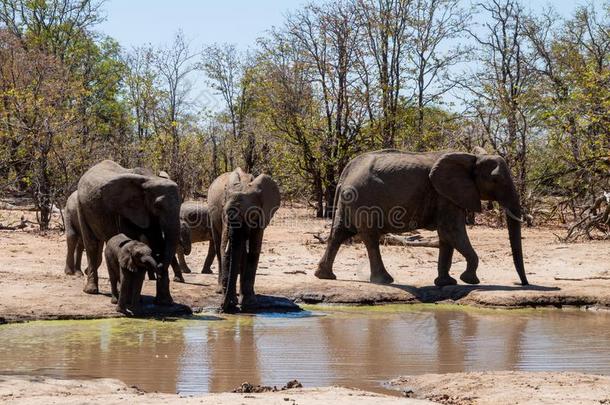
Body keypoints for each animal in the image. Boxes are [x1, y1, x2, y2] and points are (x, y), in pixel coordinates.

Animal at [76, 159, 180, 304]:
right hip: (81, 205)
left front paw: (164, 303)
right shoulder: (126, 210)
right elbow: (132, 237)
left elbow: (158, 242)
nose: (159, 265)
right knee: (91, 244)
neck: (151, 179)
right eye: (158, 206)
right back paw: (91, 291)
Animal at [205, 167, 280, 312]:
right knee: (218, 247)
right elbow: (225, 249)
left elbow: (254, 250)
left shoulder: (262, 215)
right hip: (211, 216)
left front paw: (249, 304)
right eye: (226, 212)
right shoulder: (223, 217)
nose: (222, 307)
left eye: (251, 214)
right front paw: (233, 302)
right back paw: (220, 291)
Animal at [314, 149, 528, 288]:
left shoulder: (447, 195)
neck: (471, 157)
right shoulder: (445, 195)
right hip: (364, 201)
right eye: (495, 180)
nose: (523, 284)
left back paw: (325, 276)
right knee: (370, 238)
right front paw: (470, 280)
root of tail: (346, 171)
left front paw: (446, 283)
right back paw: (385, 280)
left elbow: (447, 237)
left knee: (339, 233)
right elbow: (452, 231)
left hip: (349, 200)